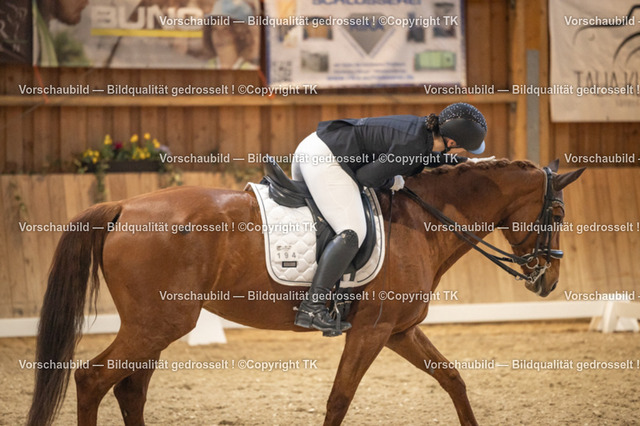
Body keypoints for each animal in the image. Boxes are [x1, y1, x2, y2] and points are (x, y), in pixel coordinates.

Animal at [27, 158, 585, 426]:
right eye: (556, 213)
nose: (549, 281)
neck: (424, 220)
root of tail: (124, 205)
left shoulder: (399, 331)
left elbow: (452, 380)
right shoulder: (373, 332)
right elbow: (339, 399)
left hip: (157, 326)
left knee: (130, 389)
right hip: (156, 325)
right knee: (92, 379)